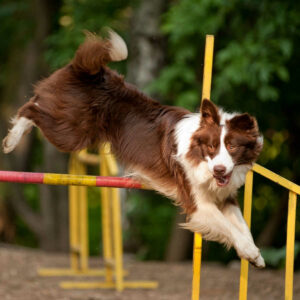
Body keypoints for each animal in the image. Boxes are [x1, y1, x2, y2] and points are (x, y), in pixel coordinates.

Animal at [2, 29, 264, 268]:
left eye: (231, 146)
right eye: (211, 146)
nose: (219, 170)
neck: (199, 157)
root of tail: (87, 70)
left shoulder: (224, 196)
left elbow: (243, 226)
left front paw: (255, 256)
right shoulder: (197, 202)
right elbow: (229, 227)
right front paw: (250, 252)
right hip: (70, 130)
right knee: (31, 107)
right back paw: (11, 140)